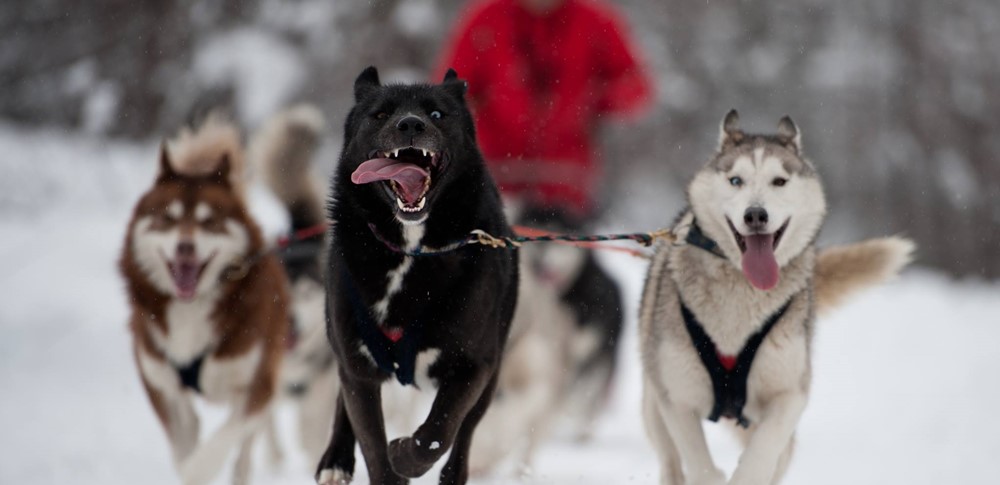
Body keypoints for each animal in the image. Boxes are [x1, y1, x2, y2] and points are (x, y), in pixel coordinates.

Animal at [316, 66, 520, 482]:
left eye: (437, 113)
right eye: (379, 114)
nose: (410, 123)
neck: (411, 250)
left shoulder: (472, 365)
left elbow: (438, 434)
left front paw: (405, 455)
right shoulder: (357, 368)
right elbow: (373, 446)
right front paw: (383, 464)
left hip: (491, 372)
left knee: (465, 432)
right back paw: (336, 460)